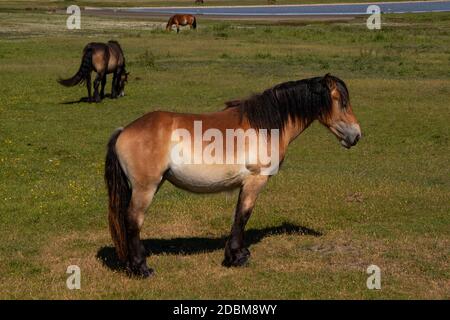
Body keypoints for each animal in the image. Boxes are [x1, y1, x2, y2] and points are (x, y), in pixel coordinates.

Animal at [104, 74, 362, 276]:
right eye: (343, 102)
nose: (356, 135)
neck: (265, 126)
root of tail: (123, 131)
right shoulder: (254, 180)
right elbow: (243, 215)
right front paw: (237, 257)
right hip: (145, 188)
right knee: (133, 221)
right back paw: (141, 268)